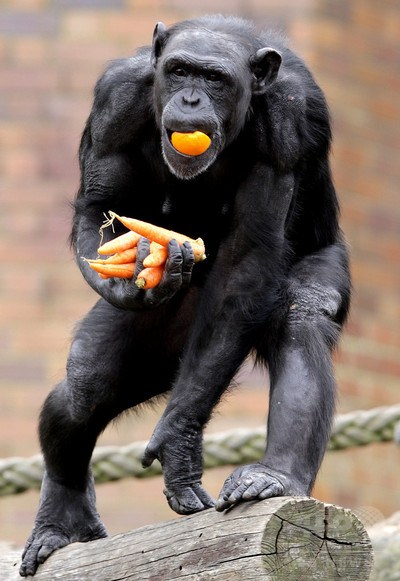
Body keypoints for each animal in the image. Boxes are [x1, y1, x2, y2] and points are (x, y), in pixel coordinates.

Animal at [19, 13, 350, 576]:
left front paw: (178, 444)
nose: (192, 99)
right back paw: (62, 519)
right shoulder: (114, 102)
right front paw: (124, 273)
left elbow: (247, 259)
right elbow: (100, 204)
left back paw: (273, 477)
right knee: (85, 387)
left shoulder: (290, 124)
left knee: (299, 317)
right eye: (178, 71)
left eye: (214, 78)